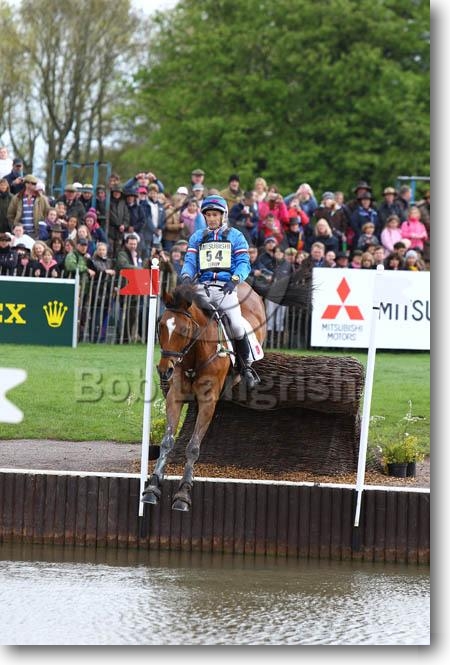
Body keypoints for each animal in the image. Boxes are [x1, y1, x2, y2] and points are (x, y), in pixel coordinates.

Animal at [142, 280, 267, 512]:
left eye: (183, 330)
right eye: (160, 326)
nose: (164, 371)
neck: (194, 354)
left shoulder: (208, 402)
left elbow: (193, 447)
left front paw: (183, 494)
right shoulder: (175, 397)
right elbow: (167, 442)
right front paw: (152, 488)